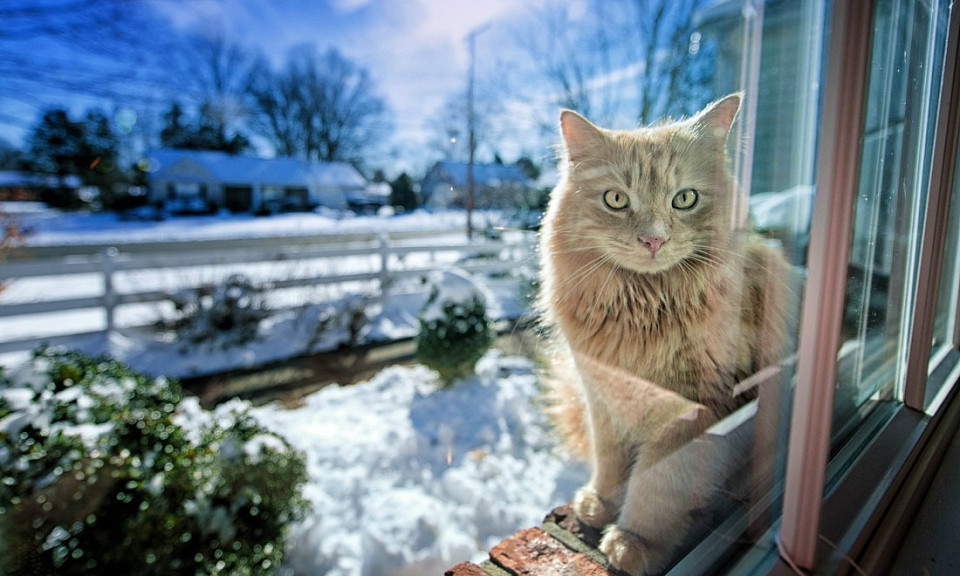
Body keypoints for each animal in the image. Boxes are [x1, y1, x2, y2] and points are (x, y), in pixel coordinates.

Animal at [540, 92, 788, 572]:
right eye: (616, 199)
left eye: (685, 199)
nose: (653, 240)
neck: (642, 309)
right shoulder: (604, 395)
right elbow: (610, 461)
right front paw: (600, 502)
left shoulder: (694, 410)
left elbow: (656, 484)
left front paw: (633, 542)